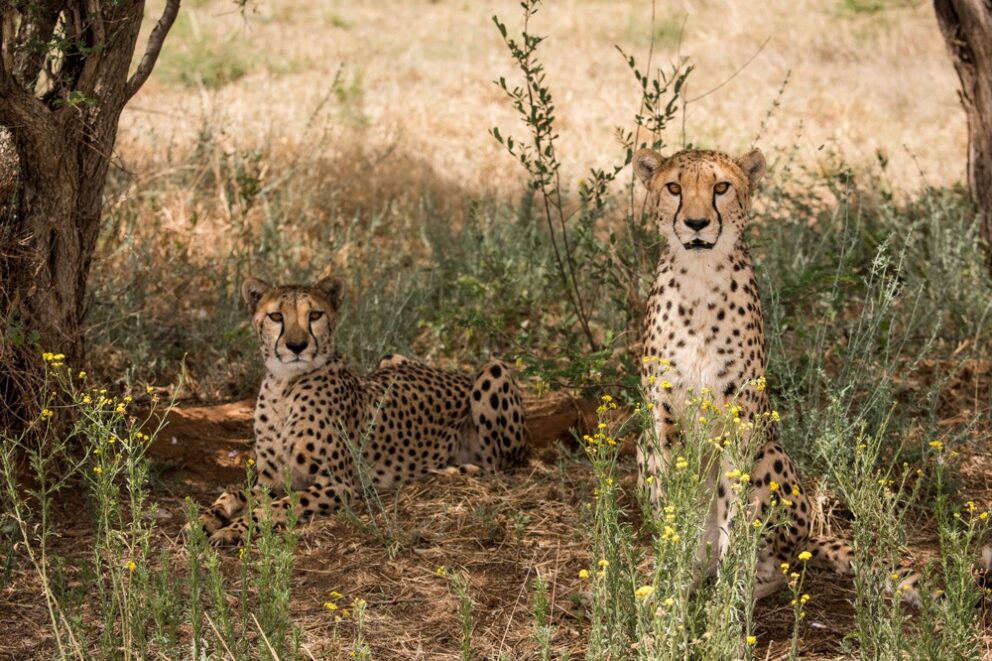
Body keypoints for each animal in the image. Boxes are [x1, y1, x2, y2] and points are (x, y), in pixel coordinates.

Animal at [194, 275, 529, 545]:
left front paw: (233, 529)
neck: (283, 385)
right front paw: (204, 519)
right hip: (391, 357)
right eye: (276, 316)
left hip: (493, 370)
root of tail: (456, 374)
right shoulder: (271, 481)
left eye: (315, 315)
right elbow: (234, 492)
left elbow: (272, 508)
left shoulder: (336, 485)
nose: (297, 346)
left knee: (503, 463)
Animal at [633, 146, 922, 603]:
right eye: (674, 187)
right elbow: (675, 513)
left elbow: (734, 519)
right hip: (642, 446)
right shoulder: (664, 425)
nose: (696, 223)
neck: (699, 279)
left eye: (721, 187)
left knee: (780, 566)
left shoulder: (741, 426)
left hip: (770, 455)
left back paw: (741, 586)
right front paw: (669, 588)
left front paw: (727, 608)